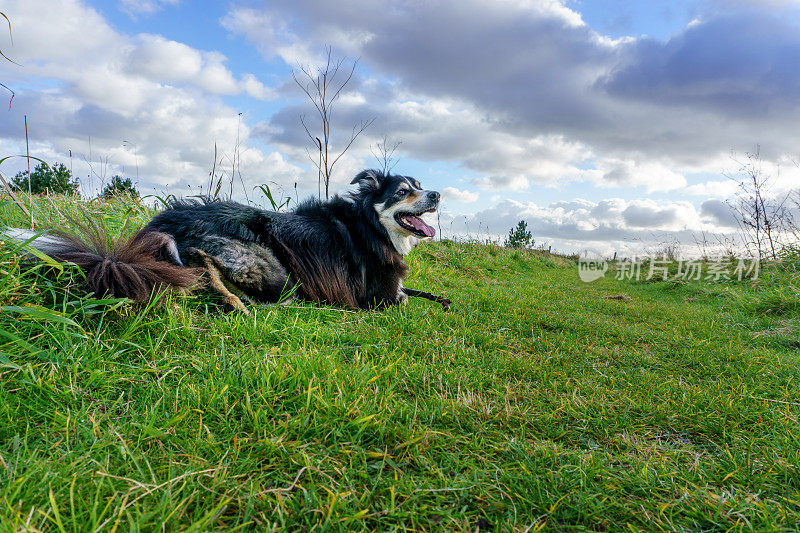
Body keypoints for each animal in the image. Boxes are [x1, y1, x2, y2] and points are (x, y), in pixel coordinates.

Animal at [7, 169, 450, 312]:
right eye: (403, 192)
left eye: (420, 186)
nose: (437, 194)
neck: (372, 226)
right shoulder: (380, 297)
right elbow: (404, 296)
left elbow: (420, 291)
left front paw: (440, 298)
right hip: (268, 264)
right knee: (202, 271)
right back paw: (237, 302)